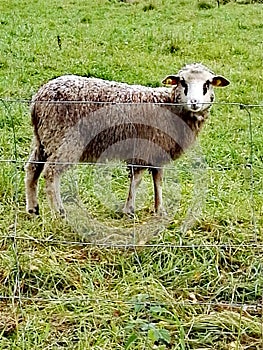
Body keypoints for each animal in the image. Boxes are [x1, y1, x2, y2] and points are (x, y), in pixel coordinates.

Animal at [25, 63, 231, 216]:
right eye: (182, 82)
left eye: (207, 84)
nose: (195, 103)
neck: (169, 106)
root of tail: (38, 98)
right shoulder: (142, 149)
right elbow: (137, 180)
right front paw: (129, 210)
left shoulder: (157, 151)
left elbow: (158, 180)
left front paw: (160, 210)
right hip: (64, 139)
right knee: (51, 173)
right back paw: (59, 212)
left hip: (44, 138)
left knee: (32, 168)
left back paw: (33, 208)